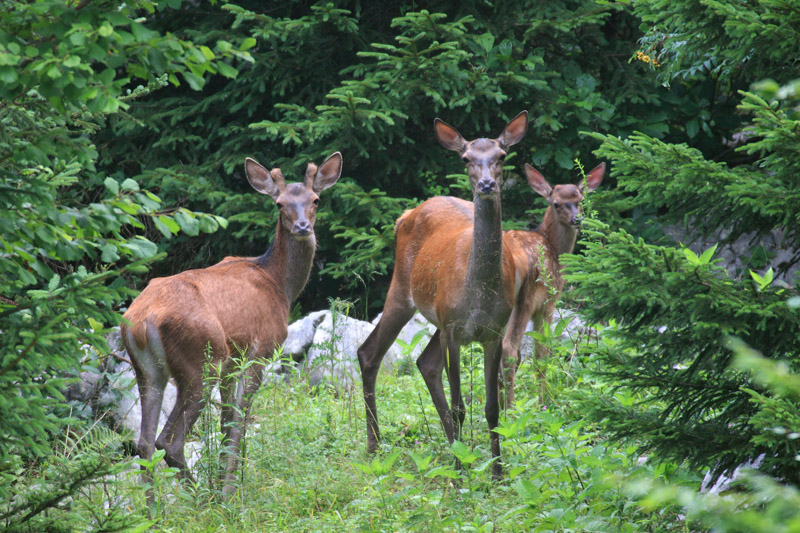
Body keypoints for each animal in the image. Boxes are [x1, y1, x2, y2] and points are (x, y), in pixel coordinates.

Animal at [121, 149, 340, 494]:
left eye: (315, 199)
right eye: (280, 204)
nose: (303, 226)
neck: (279, 285)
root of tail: (142, 320)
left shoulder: (232, 365)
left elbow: (226, 422)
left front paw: (228, 480)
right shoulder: (260, 351)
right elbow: (239, 422)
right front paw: (230, 490)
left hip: (147, 370)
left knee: (143, 443)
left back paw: (154, 504)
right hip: (201, 360)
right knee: (168, 441)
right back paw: (205, 498)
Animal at [360, 112, 528, 478]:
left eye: (501, 156)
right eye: (465, 158)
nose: (486, 185)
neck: (479, 290)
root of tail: (405, 215)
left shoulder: (493, 331)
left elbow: (492, 408)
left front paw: (496, 472)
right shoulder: (454, 330)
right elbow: (460, 405)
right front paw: (460, 471)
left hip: (438, 315)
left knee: (425, 363)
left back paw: (451, 446)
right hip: (403, 292)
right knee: (369, 353)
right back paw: (375, 445)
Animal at [496, 160, 604, 406]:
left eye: (579, 200)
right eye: (556, 203)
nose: (576, 219)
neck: (554, 248)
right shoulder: (548, 302)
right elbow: (542, 352)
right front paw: (543, 400)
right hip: (525, 298)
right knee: (508, 349)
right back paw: (511, 408)